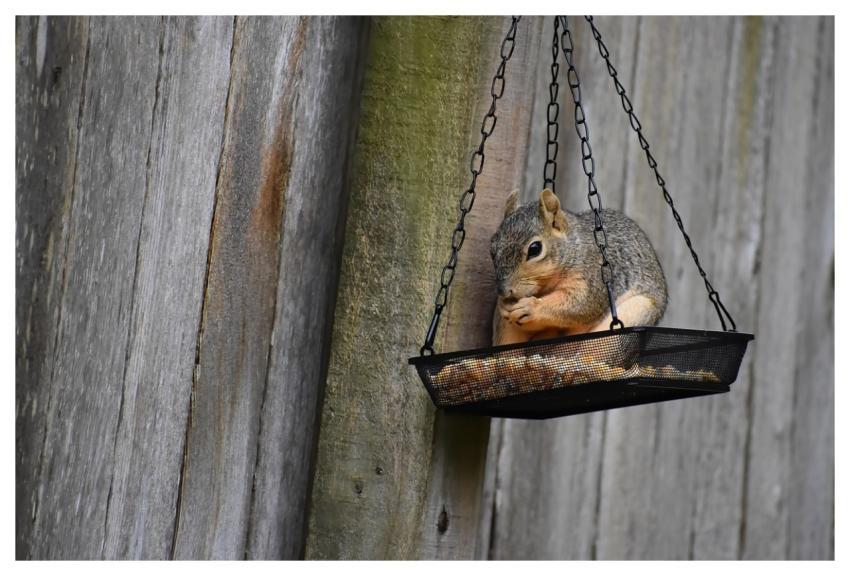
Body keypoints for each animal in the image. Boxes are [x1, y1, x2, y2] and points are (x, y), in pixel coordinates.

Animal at [490, 189, 668, 346]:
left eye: (535, 249)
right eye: (492, 247)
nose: (503, 291)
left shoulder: (594, 275)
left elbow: (582, 303)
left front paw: (532, 307)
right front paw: (503, 305)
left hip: (636, 311)